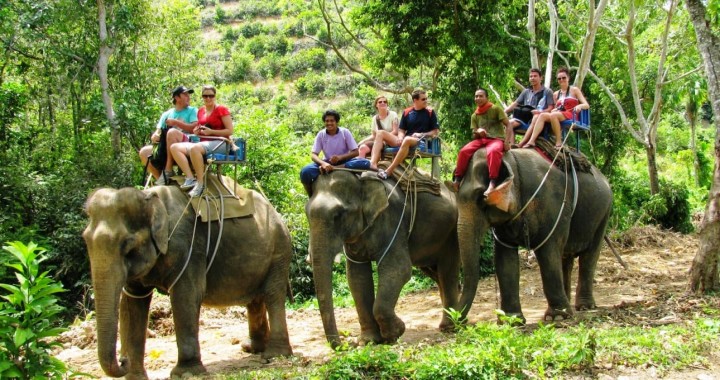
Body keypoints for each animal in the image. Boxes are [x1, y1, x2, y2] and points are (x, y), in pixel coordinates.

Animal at [81, 183, 290, 378]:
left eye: (127, 246)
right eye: (85, 240)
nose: (123, 360)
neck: (150, 198)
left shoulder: (188, 245)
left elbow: (187, 295)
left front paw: (186, 373)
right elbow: (131, 304)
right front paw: (134, 377)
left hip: (279, 250)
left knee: (273, 295)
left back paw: (274, 355)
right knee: (255, 300)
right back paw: (252, 348)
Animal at [306, 169, 458, 348]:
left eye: (338, 215)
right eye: (307, 214)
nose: (344, 344)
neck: (361, 181)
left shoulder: (393, 219)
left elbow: (398, 269)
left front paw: (395, 333)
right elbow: (357, 277)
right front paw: (368, 341)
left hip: (450, 234)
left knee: (447, 271)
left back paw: (450, 327)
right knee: (436, 273)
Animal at [458, 148, 612, 324]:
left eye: (481, 199)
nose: (457, 323)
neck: (512, 161)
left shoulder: (551, 205)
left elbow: (548, 254)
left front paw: (556, 317)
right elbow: (505, 260)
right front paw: (512, 320)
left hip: (603, 213)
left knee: (589, 256)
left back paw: (584, 307)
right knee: (566, 258)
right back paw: (570, 306)